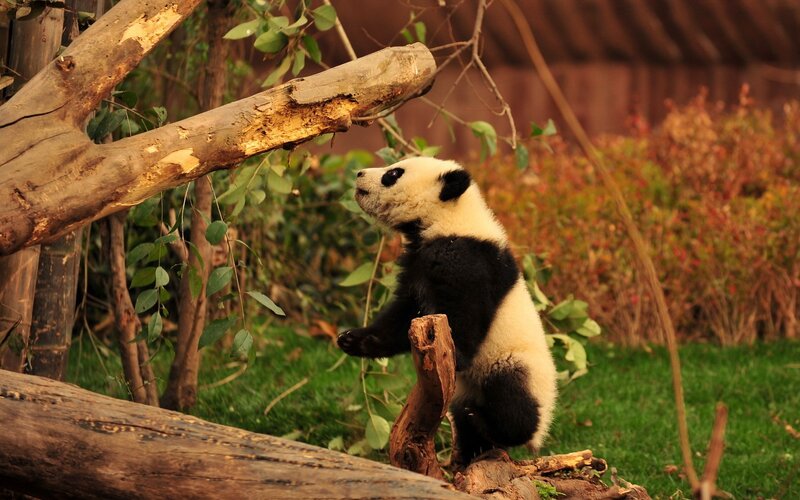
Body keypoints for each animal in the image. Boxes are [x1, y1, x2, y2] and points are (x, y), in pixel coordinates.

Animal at [337, 156, 558, 465]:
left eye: (394, 174)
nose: (359, 174)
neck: (448, 219)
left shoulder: (467, 259)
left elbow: (465, 314)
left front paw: (458, 356)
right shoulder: (416, 267)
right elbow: (403, 316)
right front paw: (353, 340)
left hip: (518, 365)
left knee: (513, 403)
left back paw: (489, 422)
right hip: (465, 390)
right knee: (467, 422)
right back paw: (471, 452)